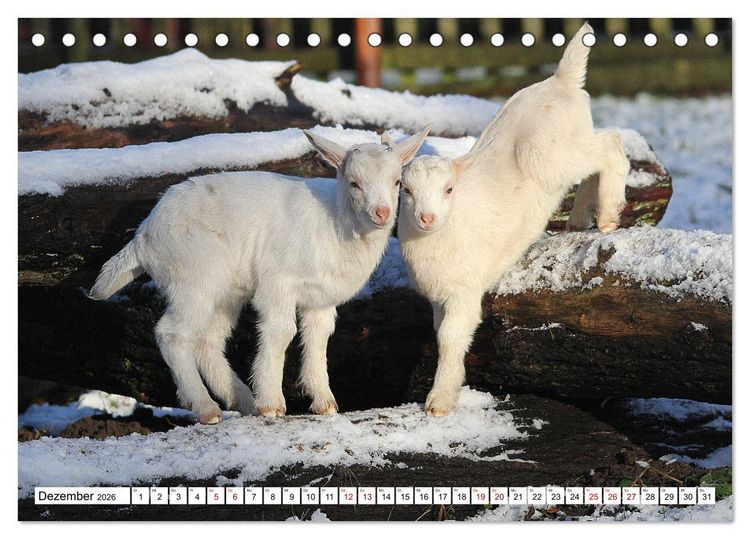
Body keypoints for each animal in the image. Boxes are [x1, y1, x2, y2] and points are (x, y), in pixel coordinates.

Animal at [90, 127, 430, 423]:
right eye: (353, 183)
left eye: (397, 182)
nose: (382, 213)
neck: (335, 222)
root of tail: (143, 237)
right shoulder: (278, 281)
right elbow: (281, 331)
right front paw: (271, 405)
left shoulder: (320, 298)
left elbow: (318, 339)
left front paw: (325, 403)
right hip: (194, 277)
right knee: (172, 334)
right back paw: (207, 408)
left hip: (225, 292)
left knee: (207, 340)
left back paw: (241, 400)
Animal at [397, 23, 629, 416]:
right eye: (405, 190)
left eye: (449, 190)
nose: (426, 218)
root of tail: (560, 81)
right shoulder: (438, 295)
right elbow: (442, 334)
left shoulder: (463, 289)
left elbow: (450, 338)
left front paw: (439, 402)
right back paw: (580, 218)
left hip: (549, 153)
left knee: (611, 144)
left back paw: (610, 215)